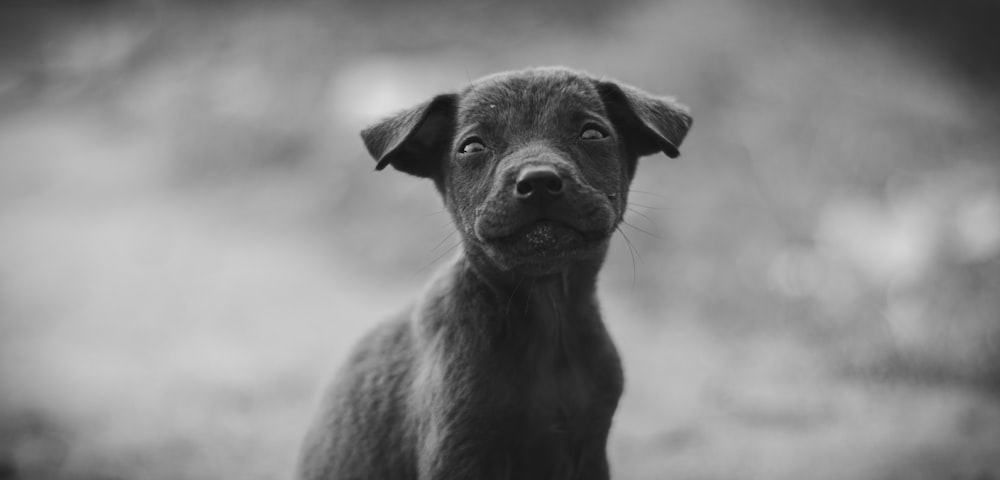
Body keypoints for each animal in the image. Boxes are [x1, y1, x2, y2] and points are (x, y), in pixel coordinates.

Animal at [292, 64, 692, 480]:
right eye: (472, 147)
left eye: (592, 133)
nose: (538, 181)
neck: (547, 315)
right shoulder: (460, 453)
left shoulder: (589, 450)